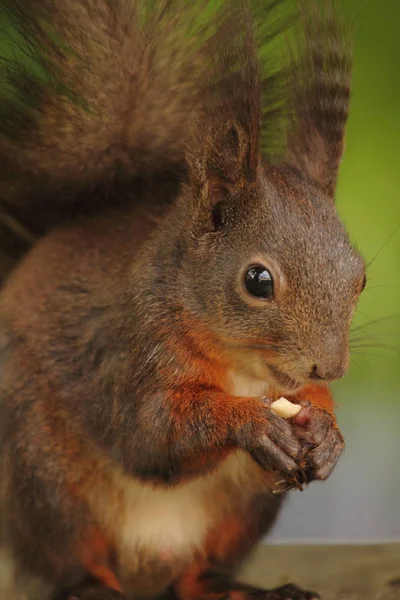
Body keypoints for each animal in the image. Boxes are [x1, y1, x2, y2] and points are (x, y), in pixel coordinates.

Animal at [0, 1, 366, 600]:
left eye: (359, 279)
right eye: (257, 280)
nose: (331, 366)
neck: (243, 369)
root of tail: (150, 564)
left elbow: (306, 401)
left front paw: (329, 434)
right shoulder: (128, 348)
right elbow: (150, 433)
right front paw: (250, 422)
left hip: (240, 511)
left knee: (198, 575)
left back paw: (244, 587)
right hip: (45, 473)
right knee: (72, 554)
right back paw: (91, 584)